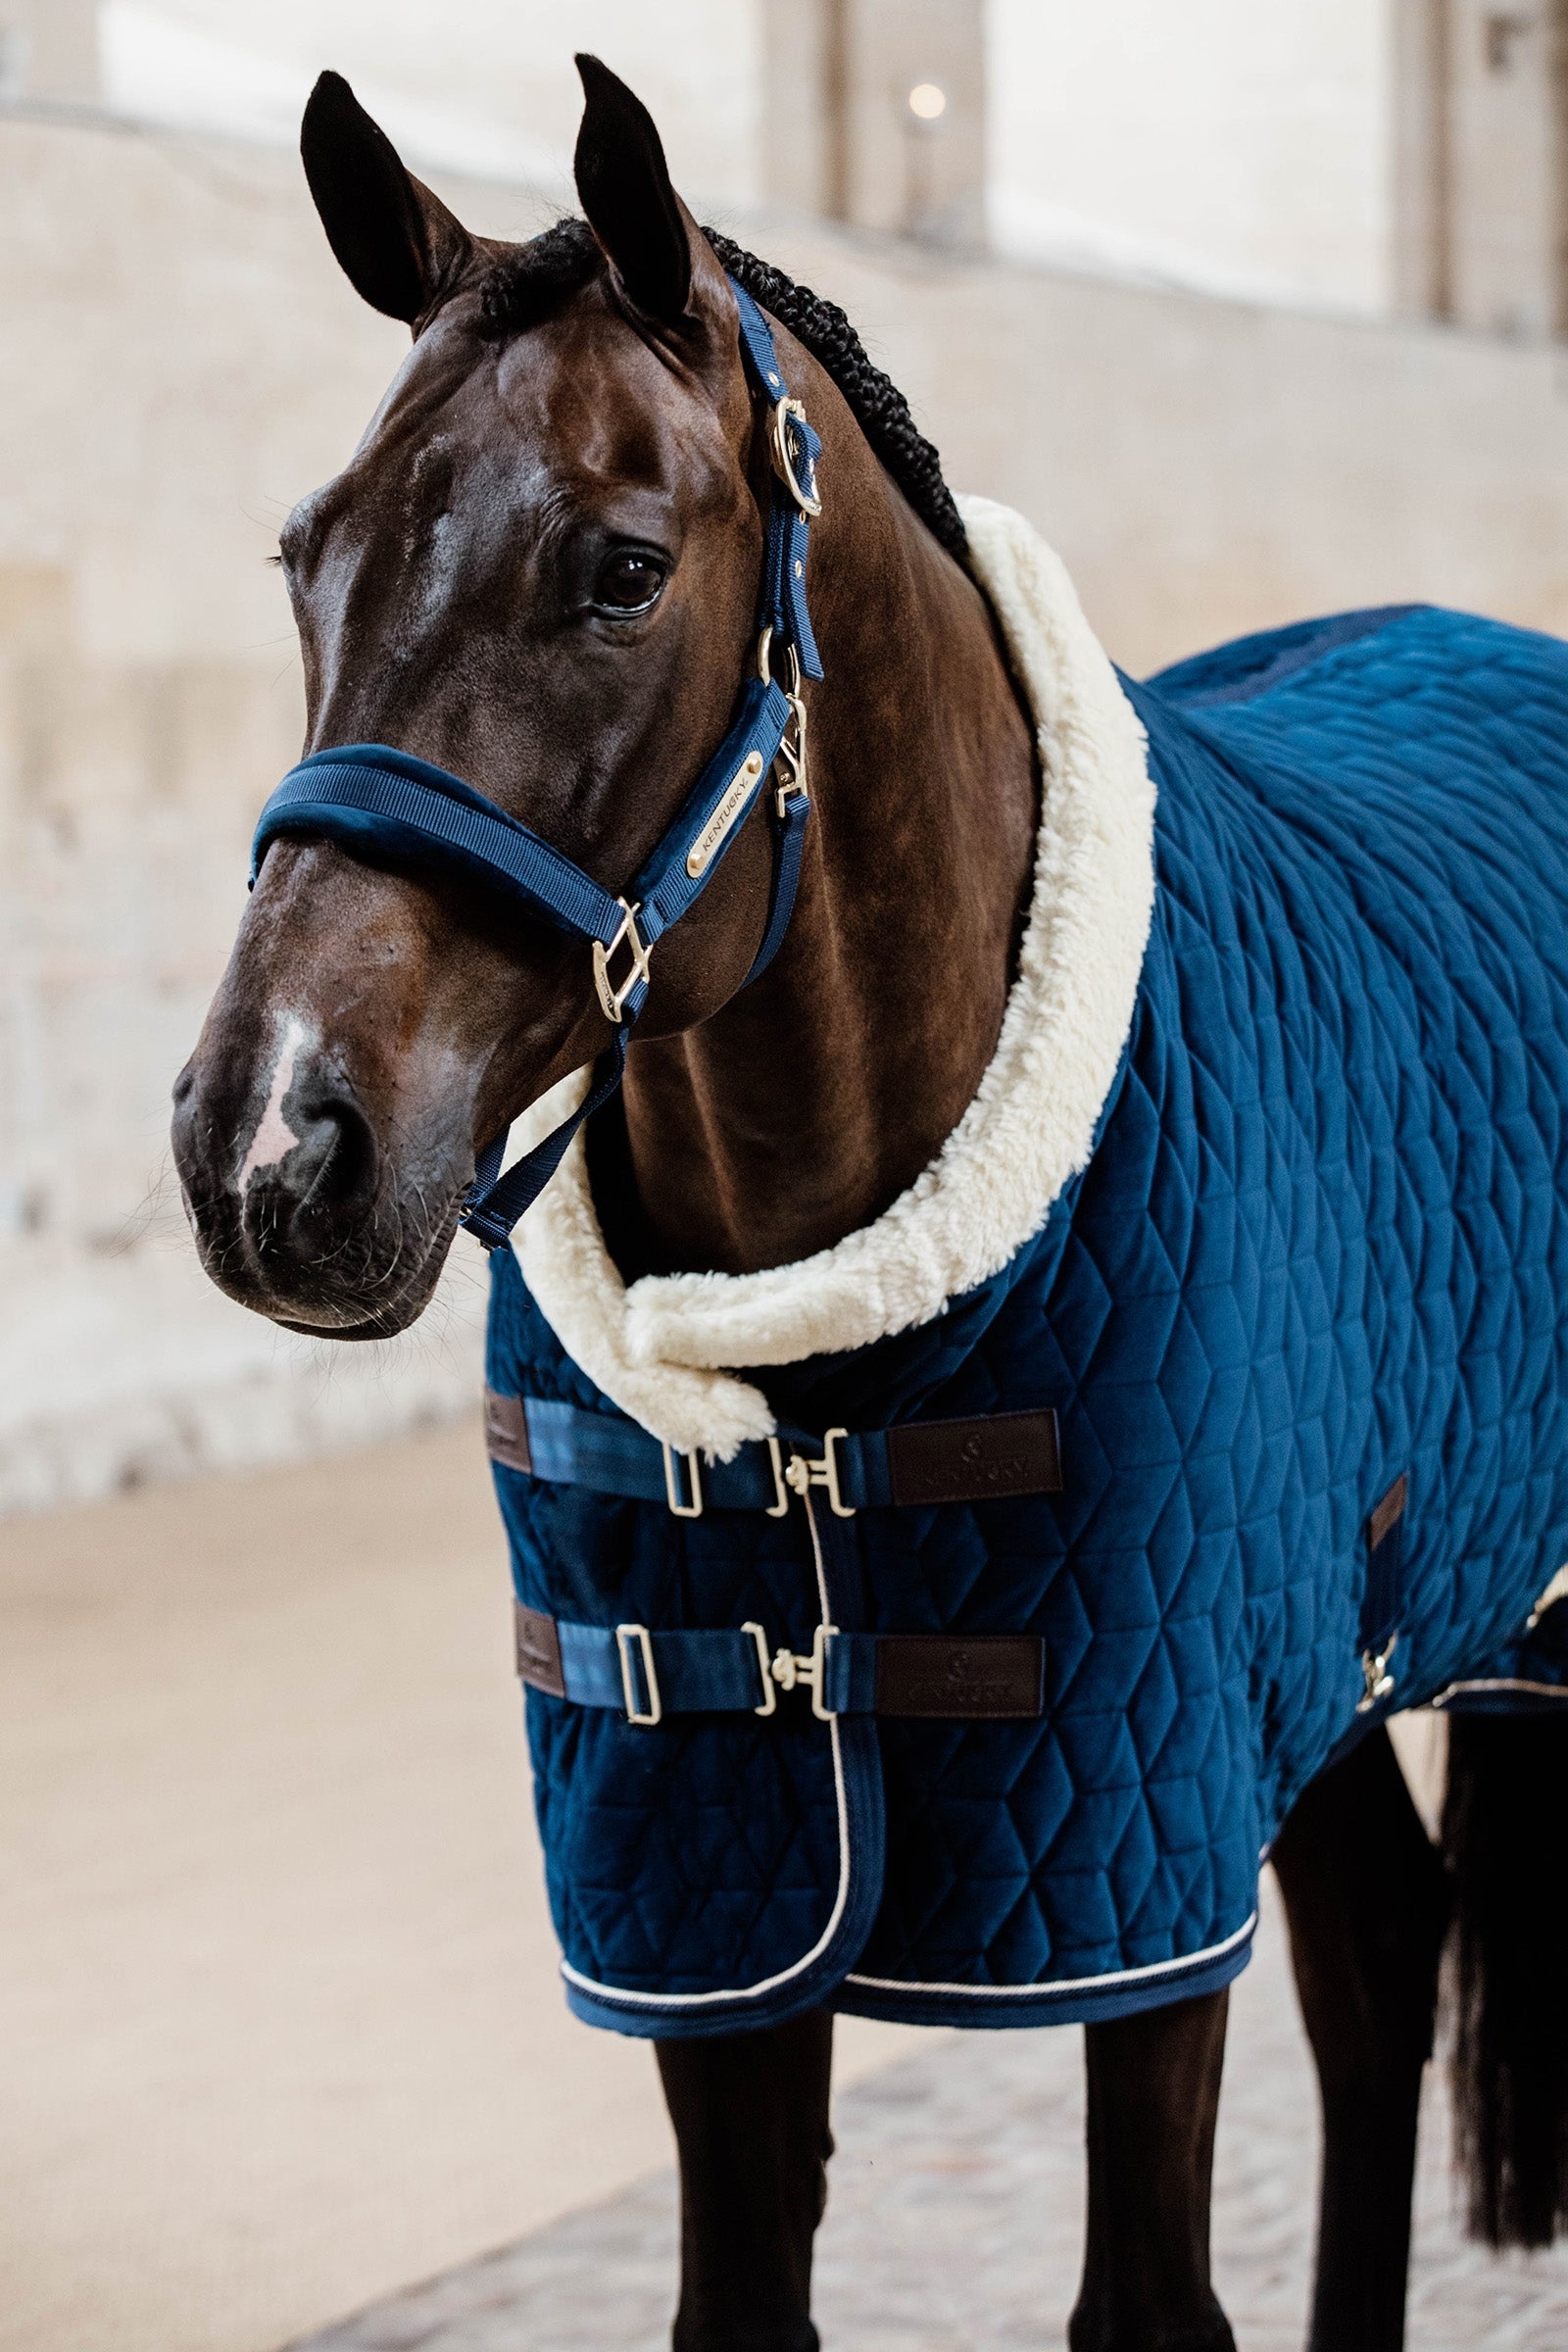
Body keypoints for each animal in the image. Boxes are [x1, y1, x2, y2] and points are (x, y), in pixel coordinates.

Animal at [172, 58, 1568, 2352]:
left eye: (623, 568)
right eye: (308, 554)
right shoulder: (718, 1891)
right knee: (1379, 1958)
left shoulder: (1133, 1855)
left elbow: (1144, 2297)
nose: (273, 1147)